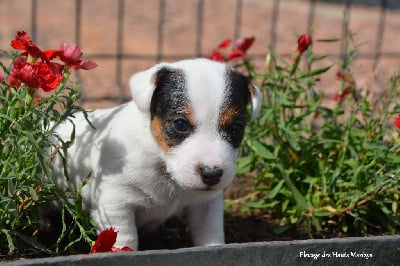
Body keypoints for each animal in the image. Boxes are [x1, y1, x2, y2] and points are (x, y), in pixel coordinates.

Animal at [53, 57, 262, 249]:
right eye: (180, 124)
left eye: (236, 128)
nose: (212, 174)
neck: (162, 164)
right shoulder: (114, 203)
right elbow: (125, 240)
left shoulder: (206, 205)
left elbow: (211, 237)